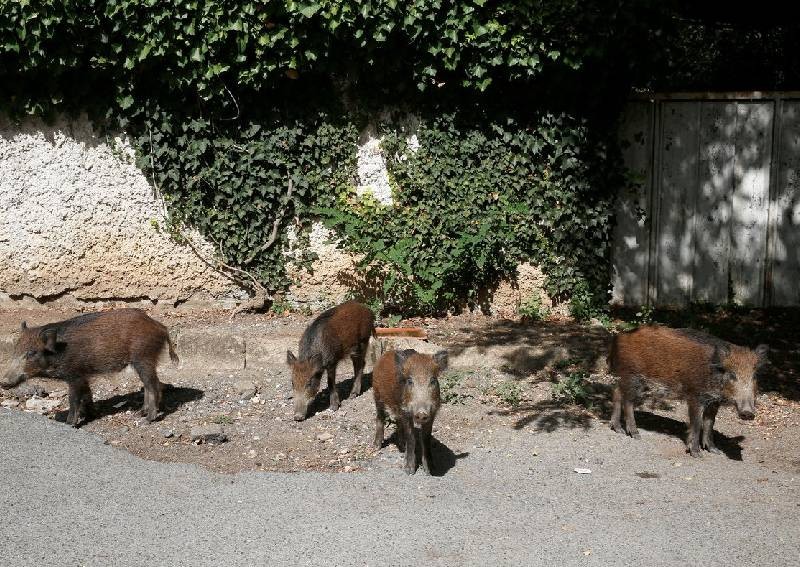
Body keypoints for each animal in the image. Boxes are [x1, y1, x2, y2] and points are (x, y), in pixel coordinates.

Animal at [1, 309, 179, 427]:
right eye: (15, 350)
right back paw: (141, 413)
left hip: (143, 357)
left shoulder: (75, 375)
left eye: (31, 353)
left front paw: (69, 424)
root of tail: (161, 327)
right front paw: (91, 415)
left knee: (153, 385)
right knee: (149, 385)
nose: (3, 382)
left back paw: (148, 419)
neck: (59, 352)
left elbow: (73, 399)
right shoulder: (83, 376)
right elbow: (87, 395)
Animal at [609, 325, 768, 457]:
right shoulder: (695, 396)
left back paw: (618, 429)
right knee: (627, 402)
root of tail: (619, 338)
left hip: (628, 379)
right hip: (633, 377)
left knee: (617, 393)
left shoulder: (713, 402)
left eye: (754, 376)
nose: (748, 413)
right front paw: (697, 454)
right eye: (732, 375)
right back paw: (635, 434)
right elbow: (696, 424)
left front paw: (715, 451)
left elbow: (709, 424)